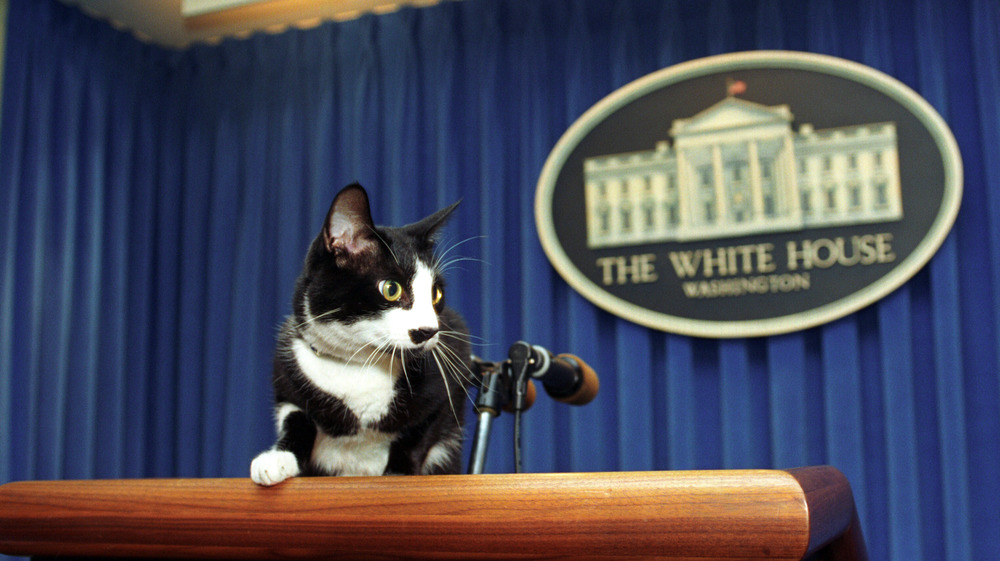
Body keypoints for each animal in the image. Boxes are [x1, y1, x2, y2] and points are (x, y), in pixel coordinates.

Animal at [248, 184, 470, 486]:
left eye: (436, 294)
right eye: (391, 289)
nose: (428, 330)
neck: (359, 364)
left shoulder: (451, 371)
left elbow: (419, 433)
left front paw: (398, 473)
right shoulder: (286, 375)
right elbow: (296, 418)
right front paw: (277, 459)